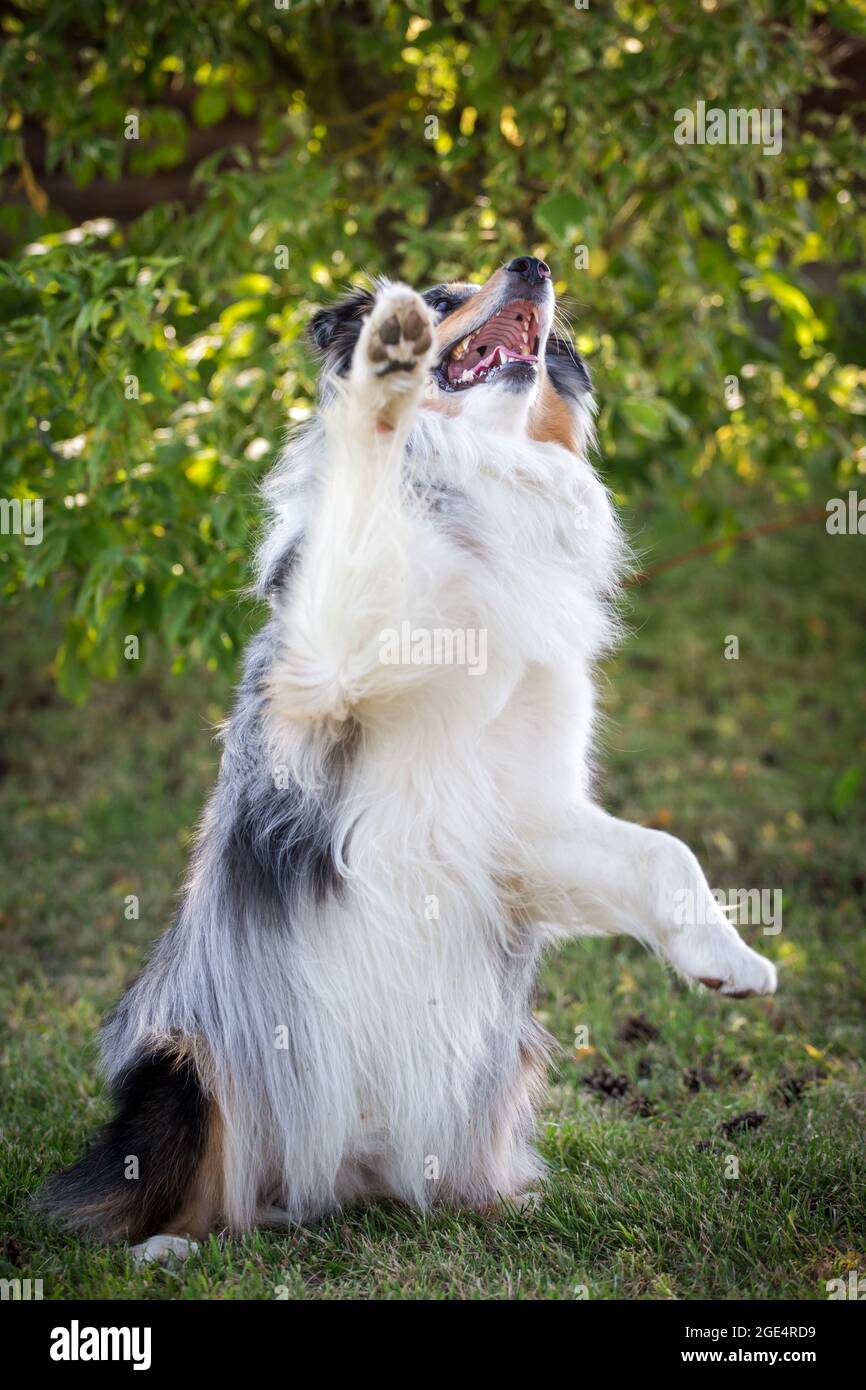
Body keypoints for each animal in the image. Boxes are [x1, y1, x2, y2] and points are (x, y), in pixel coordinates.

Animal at [38, 255, 778, 1267]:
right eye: (438, 299)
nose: (535, 263)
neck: (475, 485)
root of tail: (340, 1178)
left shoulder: (524, 817)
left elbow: (664, 851)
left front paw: (727, 957)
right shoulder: (324, 673)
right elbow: (364, 503)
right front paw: (382, 379)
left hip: (496, 1070)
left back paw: (499, 1201)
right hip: (188, 1062)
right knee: (163, 1187)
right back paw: (169, 1248)